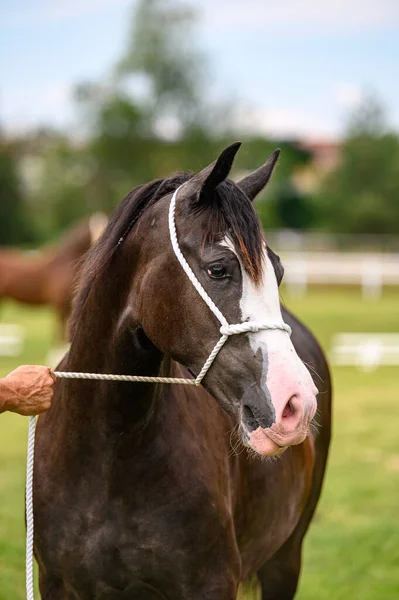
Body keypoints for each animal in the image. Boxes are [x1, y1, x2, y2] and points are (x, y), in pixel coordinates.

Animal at [32, 145, 332, 600]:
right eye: (218, 269)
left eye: (278, 271)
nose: (296, 403)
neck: (108, 457)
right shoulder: (58, 584)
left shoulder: (212, 583)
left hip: (286, 558)